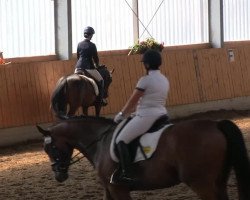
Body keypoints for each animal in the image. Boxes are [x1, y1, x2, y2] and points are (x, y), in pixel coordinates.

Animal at [36, 116, 250, 199]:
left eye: (51, 147)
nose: (59, 176)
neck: (100, 141)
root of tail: (216, 124)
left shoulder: (118, 188)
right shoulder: (109, 189)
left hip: (200, 182)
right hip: (219, 180)